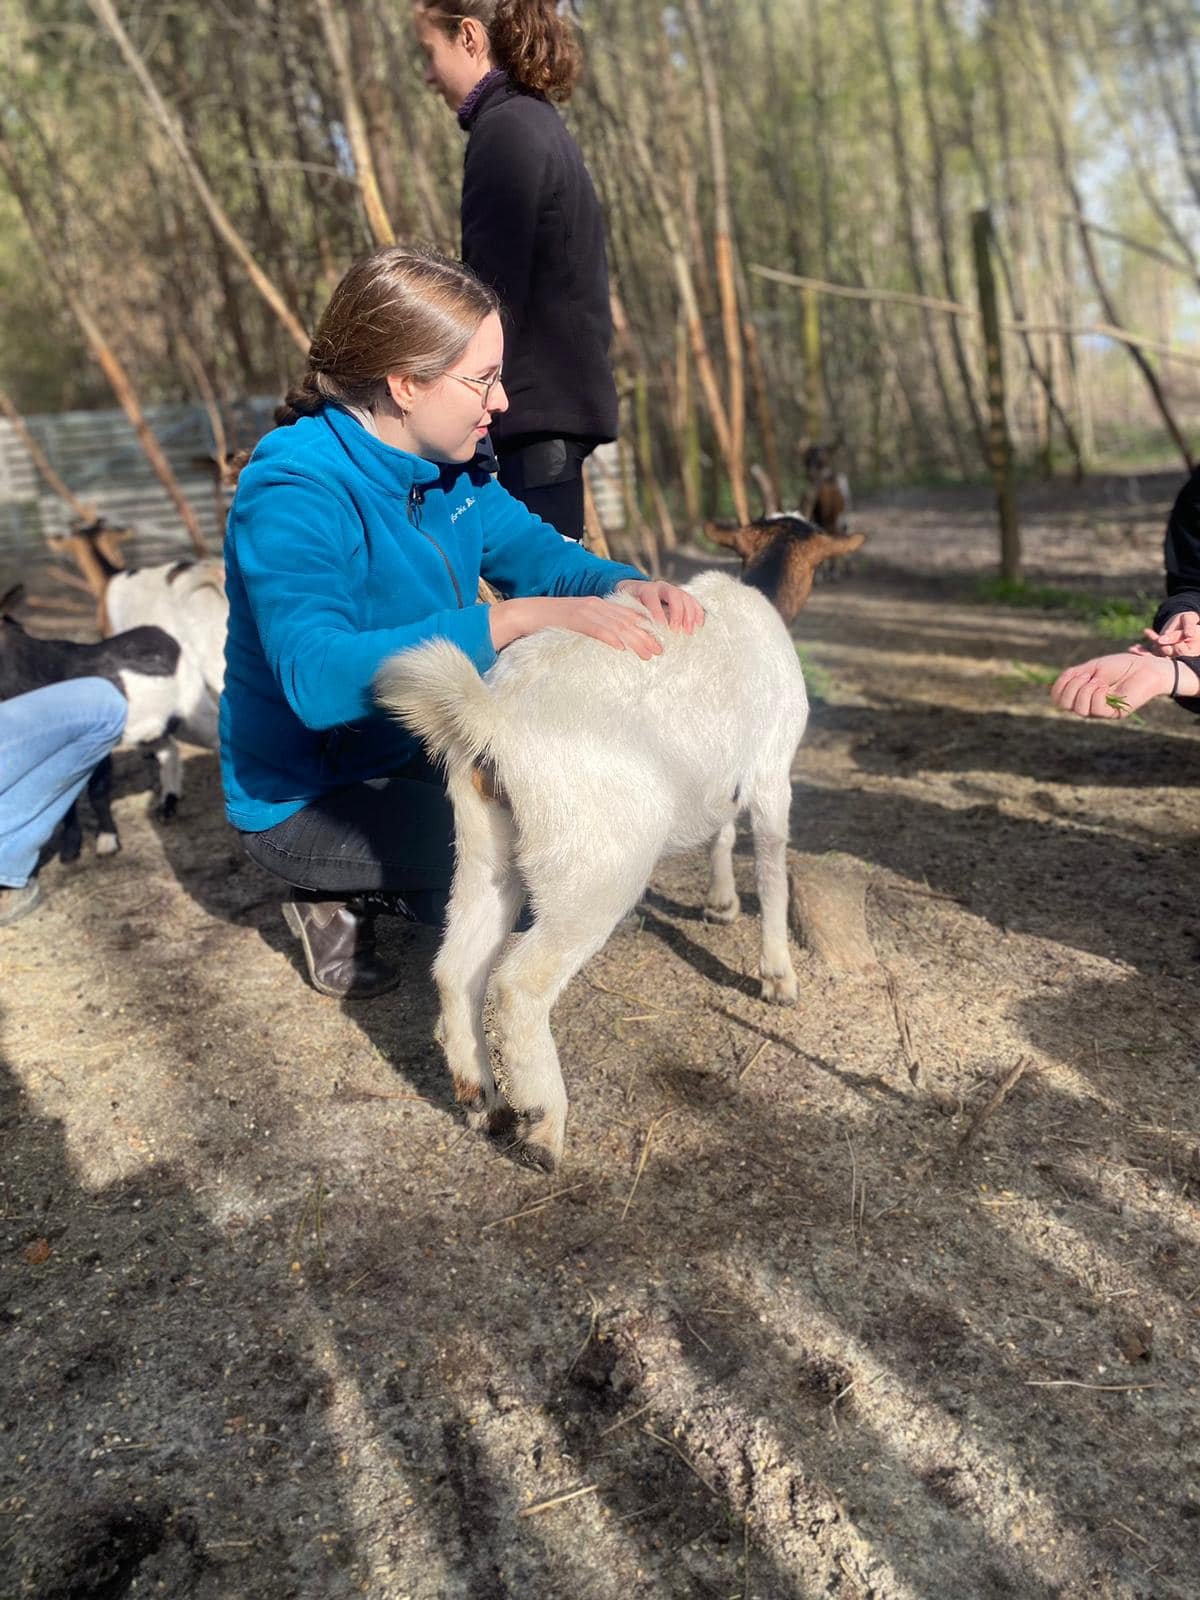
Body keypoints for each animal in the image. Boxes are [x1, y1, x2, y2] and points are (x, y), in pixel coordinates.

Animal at [376, 569, 809, 1171]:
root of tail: (495, 716)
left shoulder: (727, 782)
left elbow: (722, 833)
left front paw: (721, 904)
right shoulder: (771, 773)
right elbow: (772, 871)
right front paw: (778, 977)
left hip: (485, 849)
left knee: (457, 967)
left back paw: (485, 1103)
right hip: (596, 871)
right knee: (519, 984)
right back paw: (542, 1128)